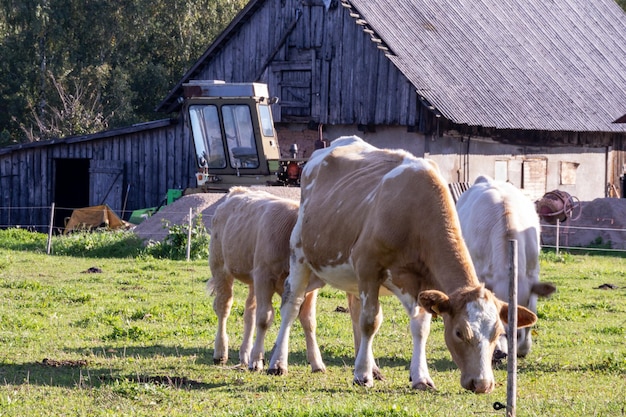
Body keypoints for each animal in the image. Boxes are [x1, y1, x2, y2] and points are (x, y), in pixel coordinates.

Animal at [208, 186, 324, 370]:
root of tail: (236, 191)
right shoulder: (264, 276)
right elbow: (264, 318)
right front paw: (257, 360)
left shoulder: (309, 288)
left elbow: (309, 321)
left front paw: (316, 362)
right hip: (220, 267)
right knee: (223, 307)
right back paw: (220, 352)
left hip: (252, 277)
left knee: (249, 311)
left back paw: (245, 354)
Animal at [266, 136, 532, 394]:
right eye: (459, 332)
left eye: (498, 333)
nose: (483, 384)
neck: (414, 214)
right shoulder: (369, 267)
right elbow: (370, 321)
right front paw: (361, 376)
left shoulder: (423, 284)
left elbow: (420, 328)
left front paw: (420, 377)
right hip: (300, 255)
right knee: (292, 306)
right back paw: (278, 363)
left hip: (350, 277)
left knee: (353, 311)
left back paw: (371, 367)